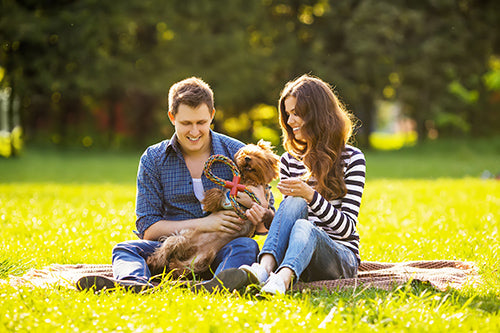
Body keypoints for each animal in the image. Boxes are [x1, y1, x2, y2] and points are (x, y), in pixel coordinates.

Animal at [146, 140, 280, 278]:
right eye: (244, 153)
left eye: (258, 156)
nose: (247, 158)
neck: (247, 179)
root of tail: (189, 249)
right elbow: (218, 193)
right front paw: (210, 200)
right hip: (181, 238)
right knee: (166, 248)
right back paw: (154, 262)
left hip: (200, 258)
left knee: (186, 267)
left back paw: (173, 266)